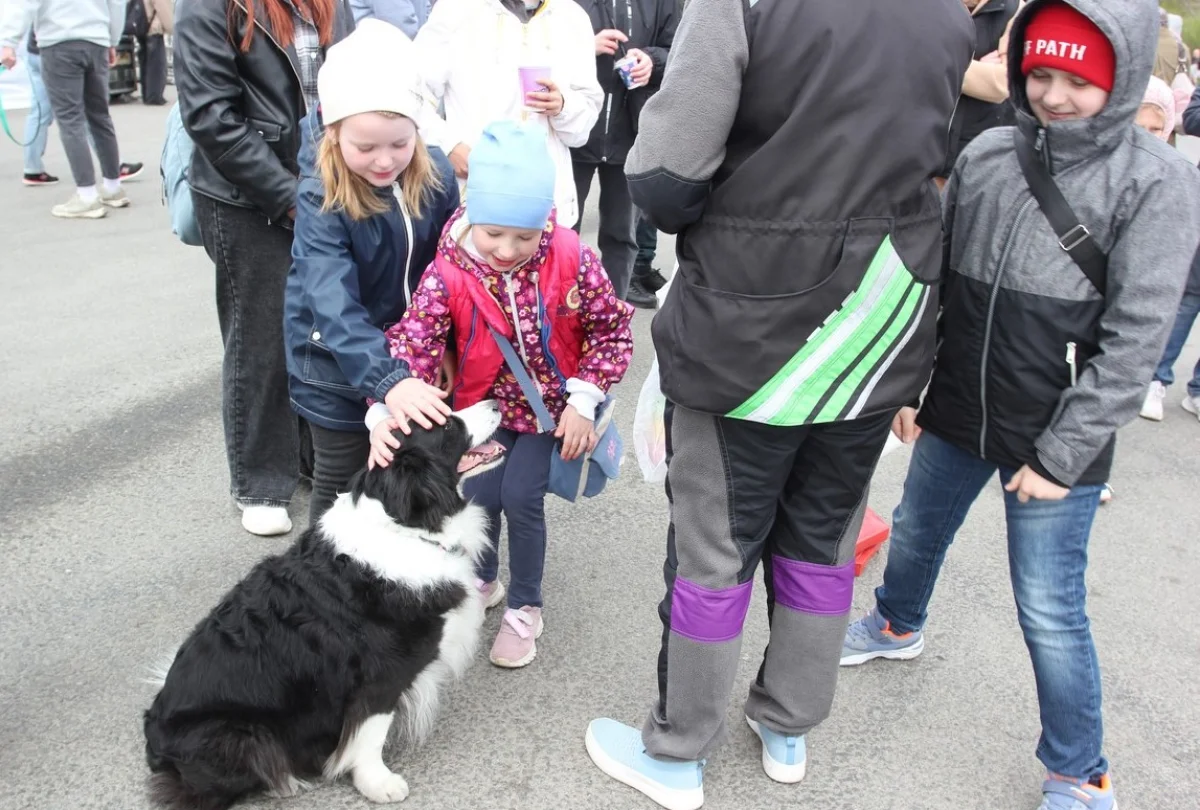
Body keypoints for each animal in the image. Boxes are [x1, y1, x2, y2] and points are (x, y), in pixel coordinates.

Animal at [143, 400, 505, 810]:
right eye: (446, 426)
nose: (495, 402)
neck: (407, 526)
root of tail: (154, 736)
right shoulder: (381, 675)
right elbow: (370, 732)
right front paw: (378, 783)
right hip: (240, 734)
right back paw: (286, 780)